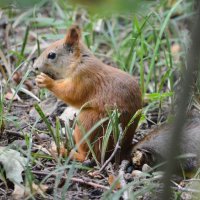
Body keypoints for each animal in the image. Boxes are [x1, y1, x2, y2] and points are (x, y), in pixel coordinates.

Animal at [33, 24, 142, 162]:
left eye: (51, 55)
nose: (35, 67)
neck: (78, 61)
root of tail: (123, 149)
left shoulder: (84, 78)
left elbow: (72, 94)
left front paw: (46, 81)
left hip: (88, 123)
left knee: (86, 156)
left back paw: (64, 151)